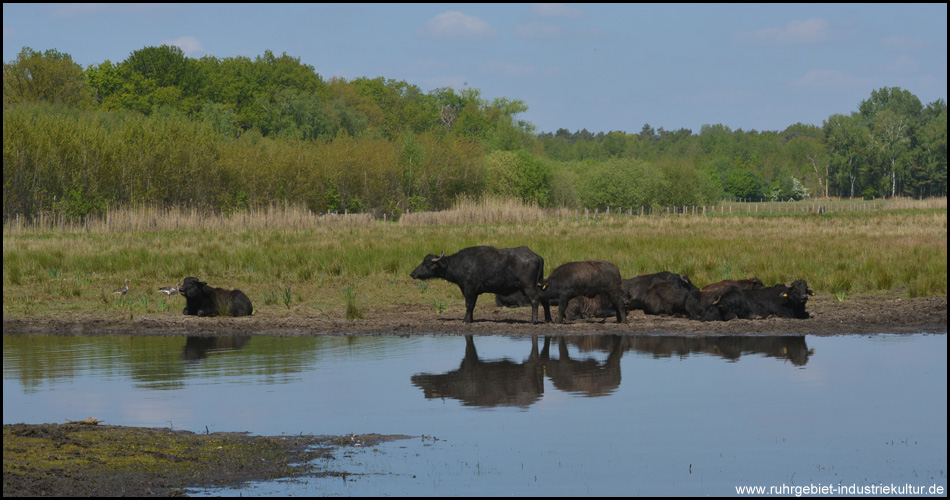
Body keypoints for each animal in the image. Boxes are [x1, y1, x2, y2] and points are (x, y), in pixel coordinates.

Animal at [410, 246, 552, 324]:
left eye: (427, 264)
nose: (412, 274)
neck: (458, 264)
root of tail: (537, 256)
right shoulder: (474, 292)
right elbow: (472, 305)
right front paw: (471, 319)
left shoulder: (468, 290)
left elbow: (468, 305)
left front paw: (465, 320)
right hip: (539, 284)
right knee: (544, 300)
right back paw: (548, 319)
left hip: (528, 287)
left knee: (535, 300)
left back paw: (533, 320)